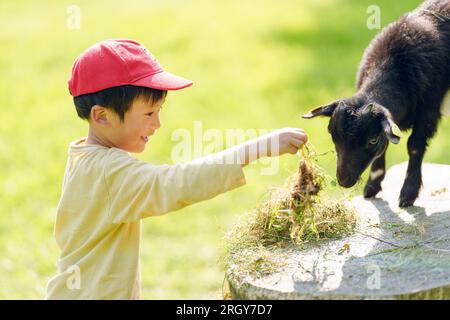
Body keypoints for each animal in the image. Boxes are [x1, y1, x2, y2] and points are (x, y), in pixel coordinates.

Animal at [302, 0, 450, 208]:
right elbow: (384, 148)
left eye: (372, 140)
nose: (344, 181)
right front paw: (372, 187)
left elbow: (414, 145)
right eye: (333, 135)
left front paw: (408, 194)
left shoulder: (429, 111)